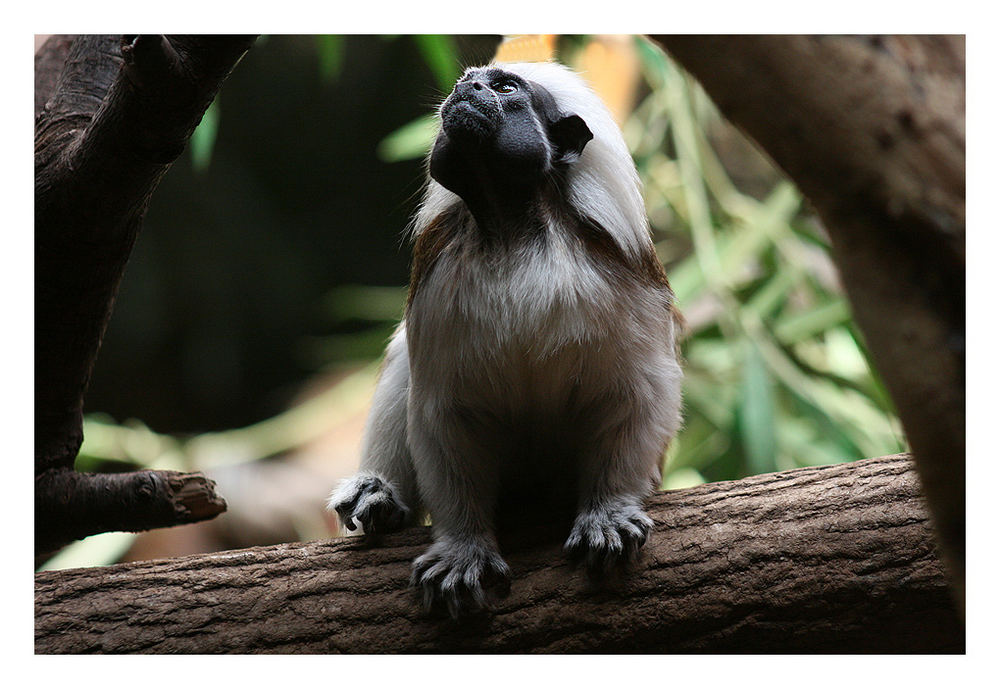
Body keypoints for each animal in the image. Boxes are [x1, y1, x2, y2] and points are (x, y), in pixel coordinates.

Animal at [332, 61, 684, 616]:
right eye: (468, 80)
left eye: (504, 87)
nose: (466, 88)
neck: (512, 229)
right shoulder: (434, 292)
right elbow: (444, 413)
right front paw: (462, 549)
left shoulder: (623, 283)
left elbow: (638, 395)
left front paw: (608, 512)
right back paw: (380, 494)